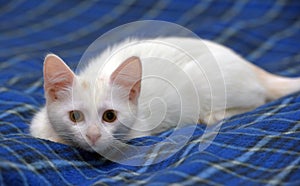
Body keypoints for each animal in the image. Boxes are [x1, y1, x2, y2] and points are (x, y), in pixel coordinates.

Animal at [29, 36, 300, 153]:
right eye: (75, 116)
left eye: (109, 116)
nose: (93, 135)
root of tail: (250, 66)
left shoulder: (138, 131)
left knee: (256, 100)